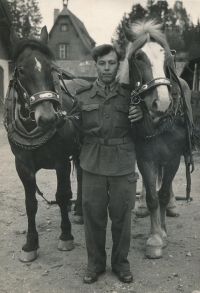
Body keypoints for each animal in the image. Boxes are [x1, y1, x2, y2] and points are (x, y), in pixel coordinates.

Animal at [3, 26, 86, 262]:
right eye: (21, 70)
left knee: (82, 177)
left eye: (50, 68)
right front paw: (31, 244)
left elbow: (62, 195)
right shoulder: (22, 166)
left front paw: (66, 236)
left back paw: (79, 211)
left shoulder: (61, 162)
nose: (48, 118)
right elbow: (30, 204)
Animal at [119, 20, 194, 258]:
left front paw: (162, 231)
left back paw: (171, 207)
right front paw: (155, 238)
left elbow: (163, 194)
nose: (161, 102)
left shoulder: (172, 157)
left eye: (166, 57)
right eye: (138, 57)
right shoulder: (145, 157)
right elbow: (152, 196)